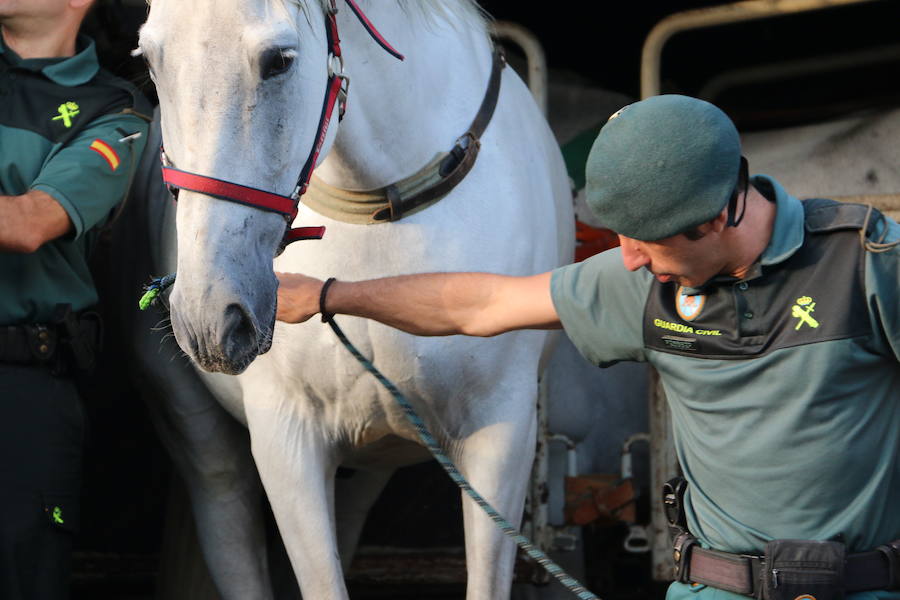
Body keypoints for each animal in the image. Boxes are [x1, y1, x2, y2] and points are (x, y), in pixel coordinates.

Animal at [134, 2, 568, 596]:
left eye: (279, 60)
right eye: (150, 60)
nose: (209, 316)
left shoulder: (500, 435)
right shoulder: (287, 440)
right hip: (196, 431)